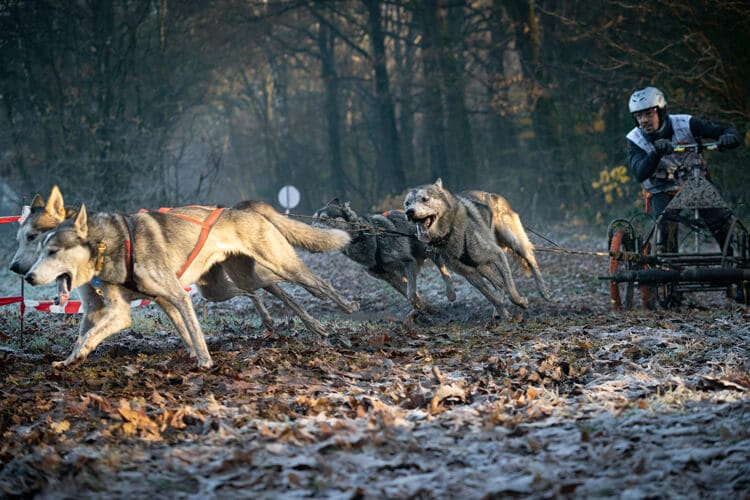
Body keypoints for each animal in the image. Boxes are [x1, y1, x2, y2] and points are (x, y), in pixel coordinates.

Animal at [23, 197, 358, 370]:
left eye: (52, 251)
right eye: (38, 248)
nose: (27, 276)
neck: (108, 244)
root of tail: (242, 207)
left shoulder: (175, 296)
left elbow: (194, 331)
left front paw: (205, 361)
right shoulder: (124, 309)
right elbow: (87, 336)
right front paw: (72, 358)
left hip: (280, 264)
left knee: (313, 282)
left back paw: (343, 305)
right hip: (222, 286)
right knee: (264, 288)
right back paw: (307, 325)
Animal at [312, 198, 456, 312]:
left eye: (324, 218)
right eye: (313, 221)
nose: (311, 231)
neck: (366, 237)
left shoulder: (408, 262)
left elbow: (410, 293)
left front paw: (423, 306)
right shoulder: (386, 276)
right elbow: (407, 291)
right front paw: (424, 307)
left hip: (427, 250)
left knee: (444, 271)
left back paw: (451, 293)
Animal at [406, 178, 552, 318]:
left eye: (424, 199)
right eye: (407, 203)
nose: (409, 212)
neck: (449, 233)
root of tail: (492, 194)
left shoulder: (498, 255)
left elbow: (511, 292)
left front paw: (521, 302)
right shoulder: (470, 274)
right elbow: (492, 298)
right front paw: (505, 316)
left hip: (514, 243)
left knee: (530, 260)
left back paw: (543, 290)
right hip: (482, 267)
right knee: (499, 284)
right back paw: (497, 311)